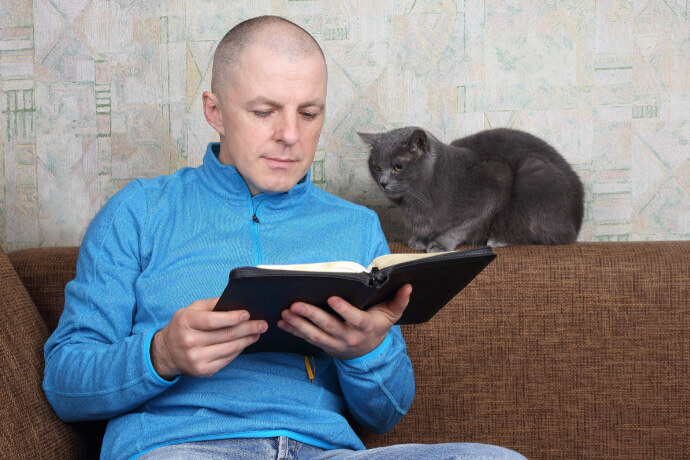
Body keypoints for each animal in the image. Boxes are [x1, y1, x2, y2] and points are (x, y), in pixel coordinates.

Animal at [358, 126, 584, 252]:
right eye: (377, 167)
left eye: (398, 166)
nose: (383, 181)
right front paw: (422, 239)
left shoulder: (496, 180)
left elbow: (464, 226)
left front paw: (440, 244)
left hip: (534, 169)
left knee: (556, 236)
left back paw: (499, 239)